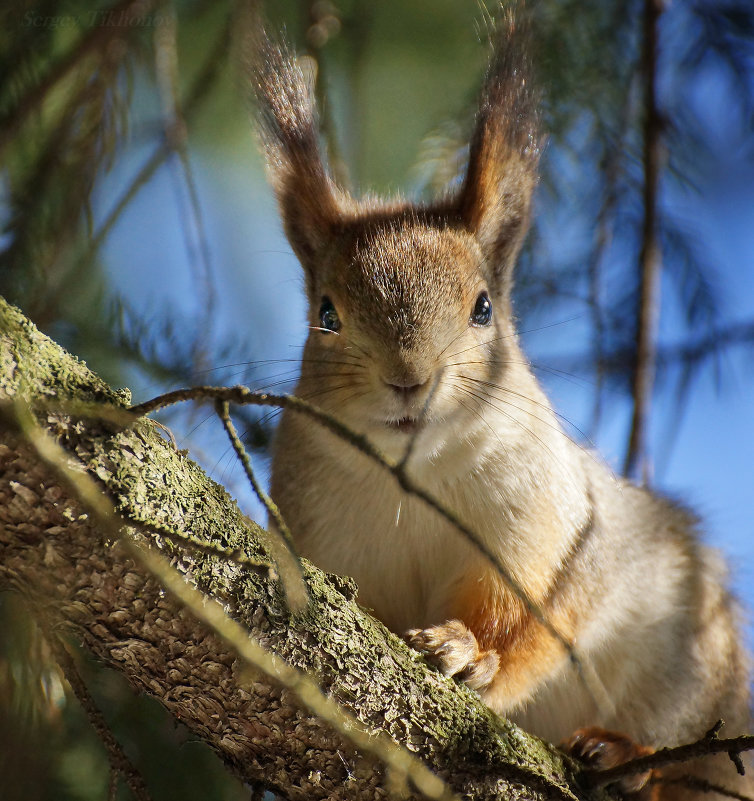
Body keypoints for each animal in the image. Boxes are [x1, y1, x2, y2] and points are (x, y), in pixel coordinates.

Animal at [251, 7, 748, 800]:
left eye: (483, 308)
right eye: (325, 315)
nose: (409, 377)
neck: (411, 481)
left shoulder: (560, 529)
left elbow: (548, 626)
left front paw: (472, 655)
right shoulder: (316, 532)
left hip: (693, 669)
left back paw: (628, 758)